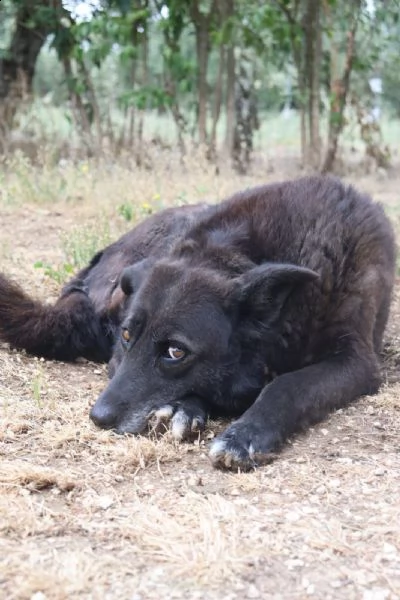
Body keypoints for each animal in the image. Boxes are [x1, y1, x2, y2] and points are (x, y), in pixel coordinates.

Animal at [0, 176, 394, 472]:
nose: (98, 418)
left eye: (176, 352)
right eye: (127, 335)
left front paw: (245, 435)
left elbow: (288, 385)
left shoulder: (356, 360)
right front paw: (187, 409)